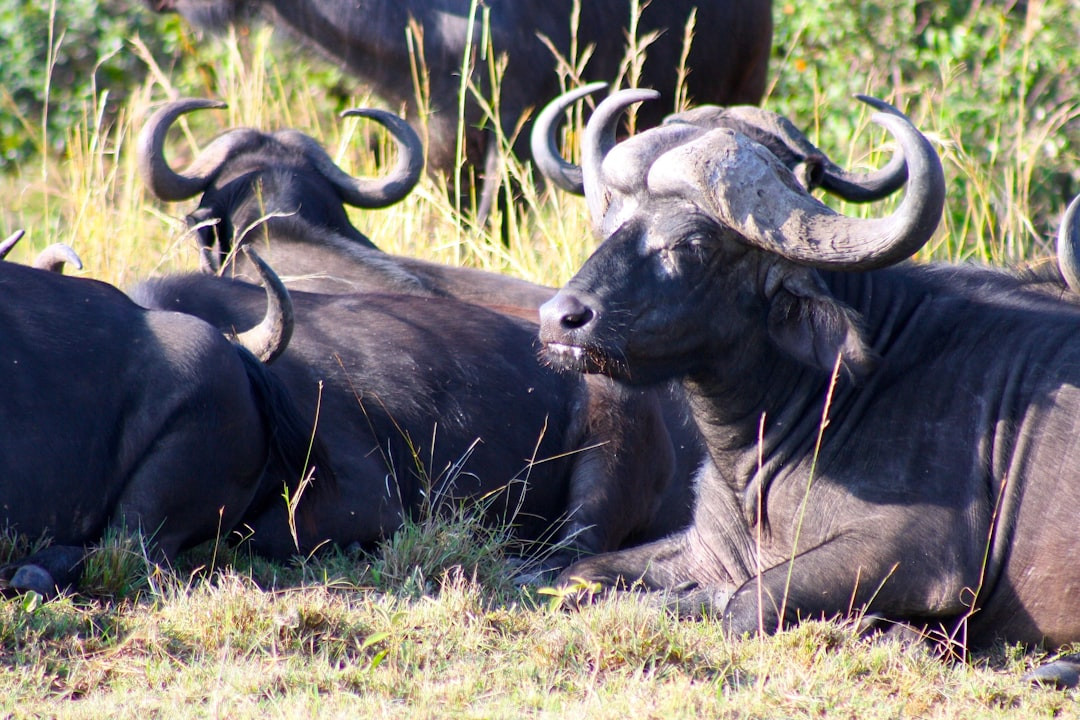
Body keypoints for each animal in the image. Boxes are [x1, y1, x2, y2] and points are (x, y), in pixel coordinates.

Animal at [540, 90, 1080, 686]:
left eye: (691, 242)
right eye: (611, 223)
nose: (559, 318)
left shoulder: (928, 551)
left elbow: (744, 604)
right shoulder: (707, 549)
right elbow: (577, 575)